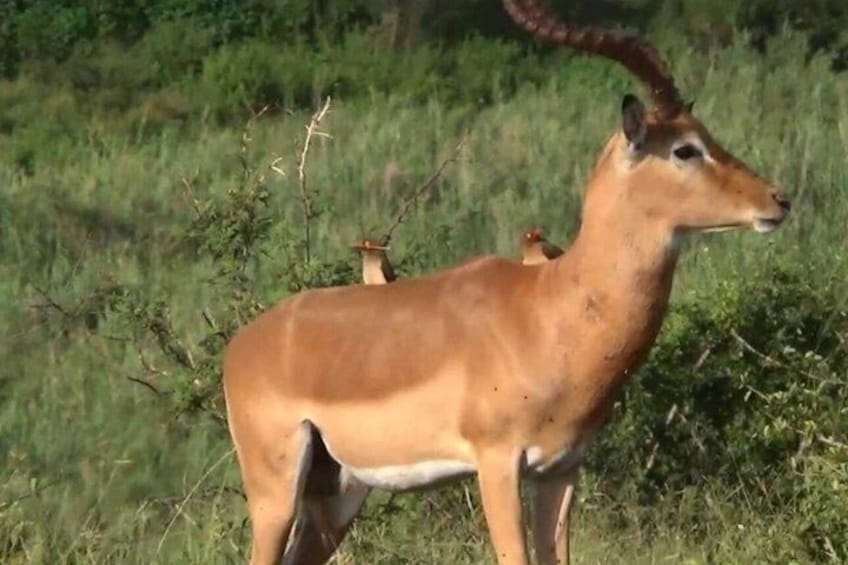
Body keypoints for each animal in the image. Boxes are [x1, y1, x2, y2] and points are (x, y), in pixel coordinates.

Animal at [222, 1, 791, 564]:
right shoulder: (497, 463)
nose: (778, 200)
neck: (551, 309)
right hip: (276, 492)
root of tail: (242, 344)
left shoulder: (560, 469)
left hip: (339, 493)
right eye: (684, 149)